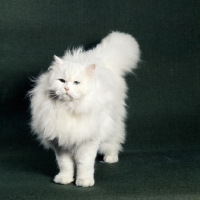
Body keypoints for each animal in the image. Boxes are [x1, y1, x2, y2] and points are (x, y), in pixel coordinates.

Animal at [28, 30, 140, 187]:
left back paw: (110, 158)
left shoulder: (88, 141)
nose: (66, 88)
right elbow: (65, 164)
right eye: (61, 81)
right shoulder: (61, 142)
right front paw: (64, 179)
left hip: (112, 124)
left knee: (114, 141)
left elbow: (84, 164)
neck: (67, 108)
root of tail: (99, 59)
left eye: (76, 83)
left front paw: (84, 181)